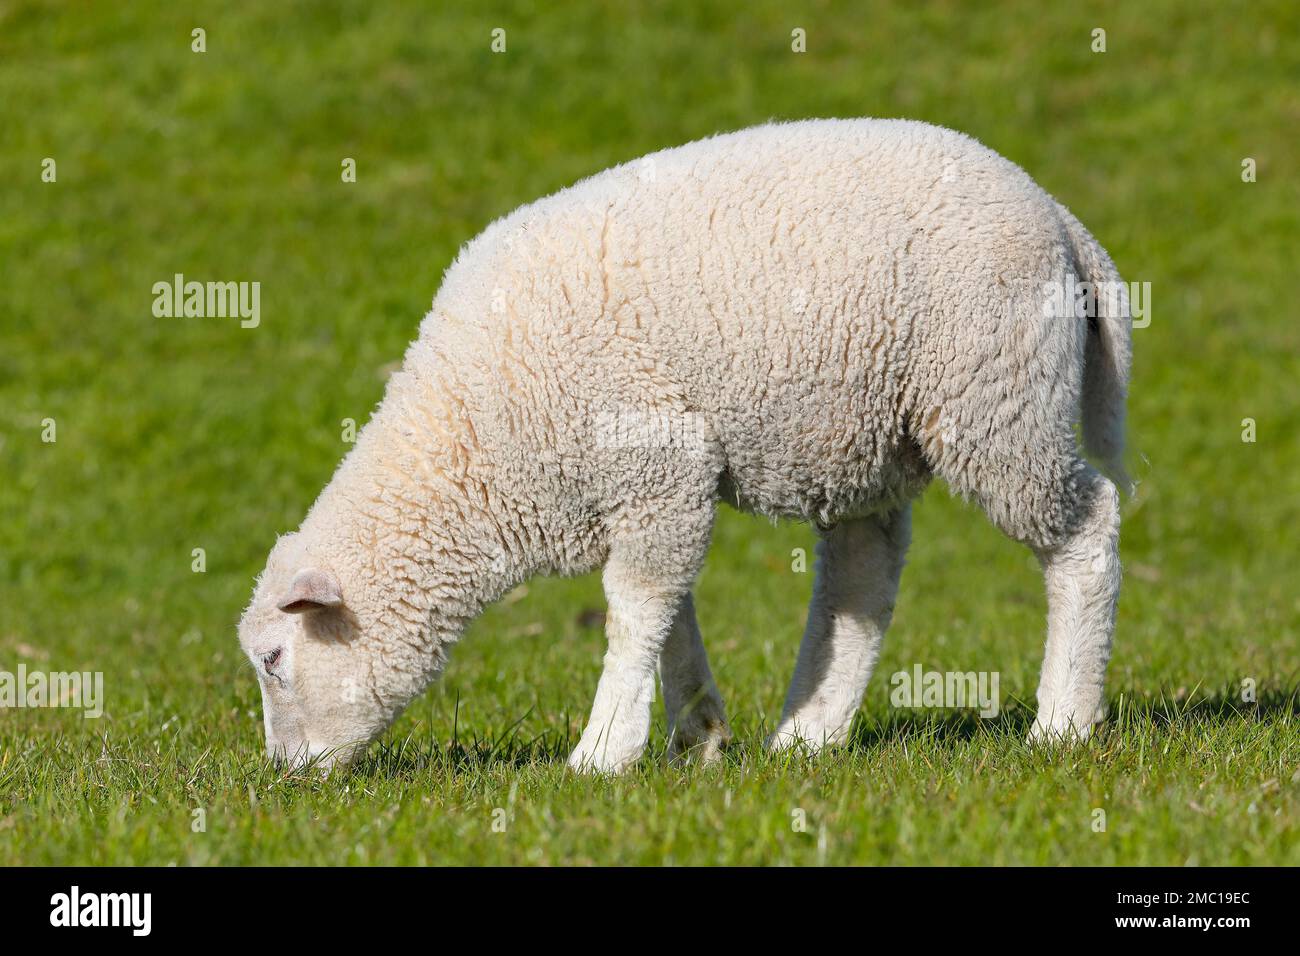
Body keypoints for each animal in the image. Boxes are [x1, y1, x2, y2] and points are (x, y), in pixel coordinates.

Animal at [239, 119, 1133, 780]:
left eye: (275, 660)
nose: (283, 775)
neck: (475, 445)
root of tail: (1059, 217)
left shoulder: (652, 459)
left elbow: (635, 609)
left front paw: (602, 754)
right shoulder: (646, 490)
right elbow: (668, 607)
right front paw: (697, 732)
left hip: (996, 396)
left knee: (1086, 526)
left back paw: (1062, 722)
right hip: (865, 431)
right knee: (862, 574)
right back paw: (808, 734)